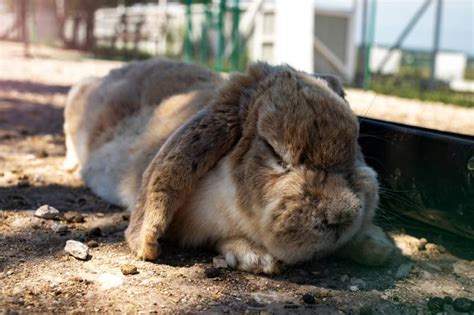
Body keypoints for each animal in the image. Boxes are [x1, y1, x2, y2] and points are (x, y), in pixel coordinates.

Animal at [64, 58, 396, 274]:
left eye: (355, 140)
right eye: (274, 150)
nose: (341, 216)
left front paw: (377, 246)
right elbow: (220, 238)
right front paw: (257, 259)